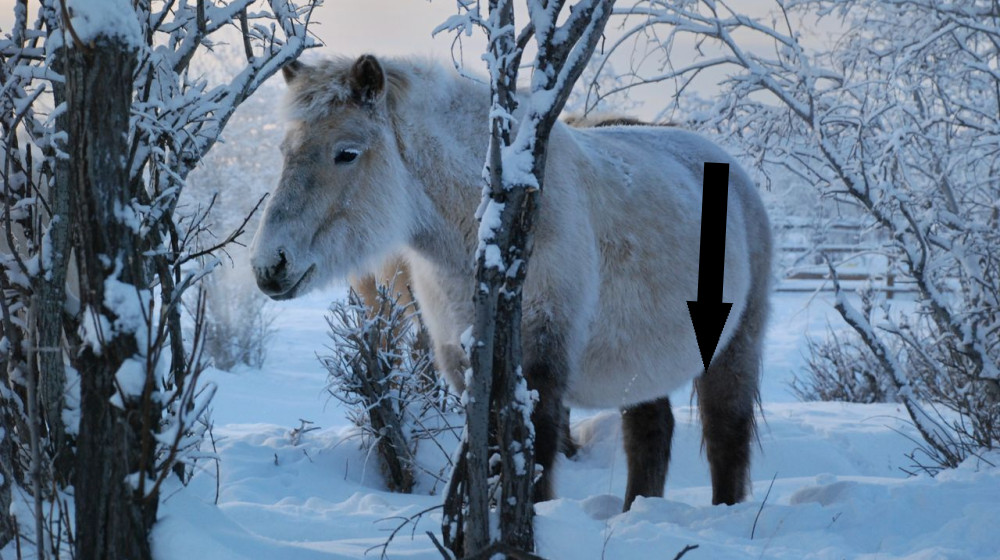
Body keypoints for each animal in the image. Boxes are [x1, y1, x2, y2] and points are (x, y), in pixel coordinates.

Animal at [250, 54, 772, 510]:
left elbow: (531, 463)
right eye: (283, 151)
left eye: (347, 153)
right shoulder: (464, 364)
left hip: (734, 348)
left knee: (725, 435)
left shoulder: (538, 364)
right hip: (639, 364)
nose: (269, 264)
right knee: (650, 435)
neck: (495, 226)